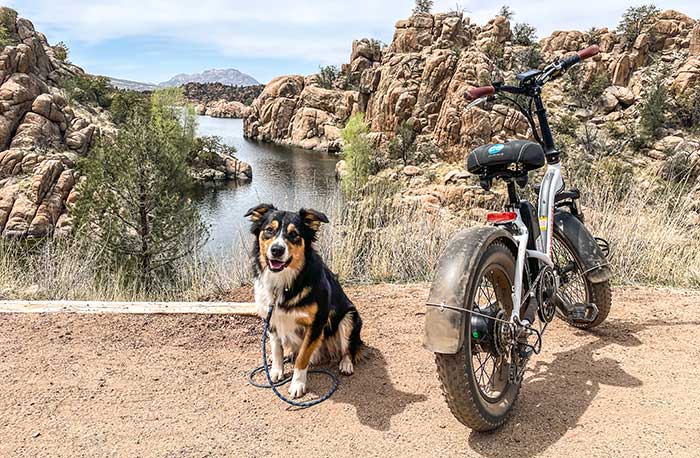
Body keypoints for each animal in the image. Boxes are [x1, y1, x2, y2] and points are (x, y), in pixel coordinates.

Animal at [246, 204, 364, 398]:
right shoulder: (271, 317)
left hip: (350, 318)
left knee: (349, 348)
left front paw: (297, 385)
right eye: (269, 230)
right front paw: (276, 370)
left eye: (294, 234)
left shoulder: (317, 322)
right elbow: (276, 348)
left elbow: (302, 358)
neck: (284, 282)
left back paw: (346, 363)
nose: (276, 250)